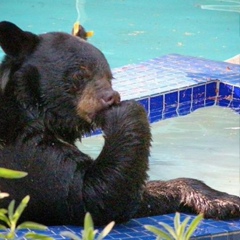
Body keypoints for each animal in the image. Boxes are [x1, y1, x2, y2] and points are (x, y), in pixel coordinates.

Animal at [0, 21, 239, 226]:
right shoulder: (25, 152)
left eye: (109, 75)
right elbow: (91, 196)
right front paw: (126, 111)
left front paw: (223, 200)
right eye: (79, 74)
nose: (111, 97)